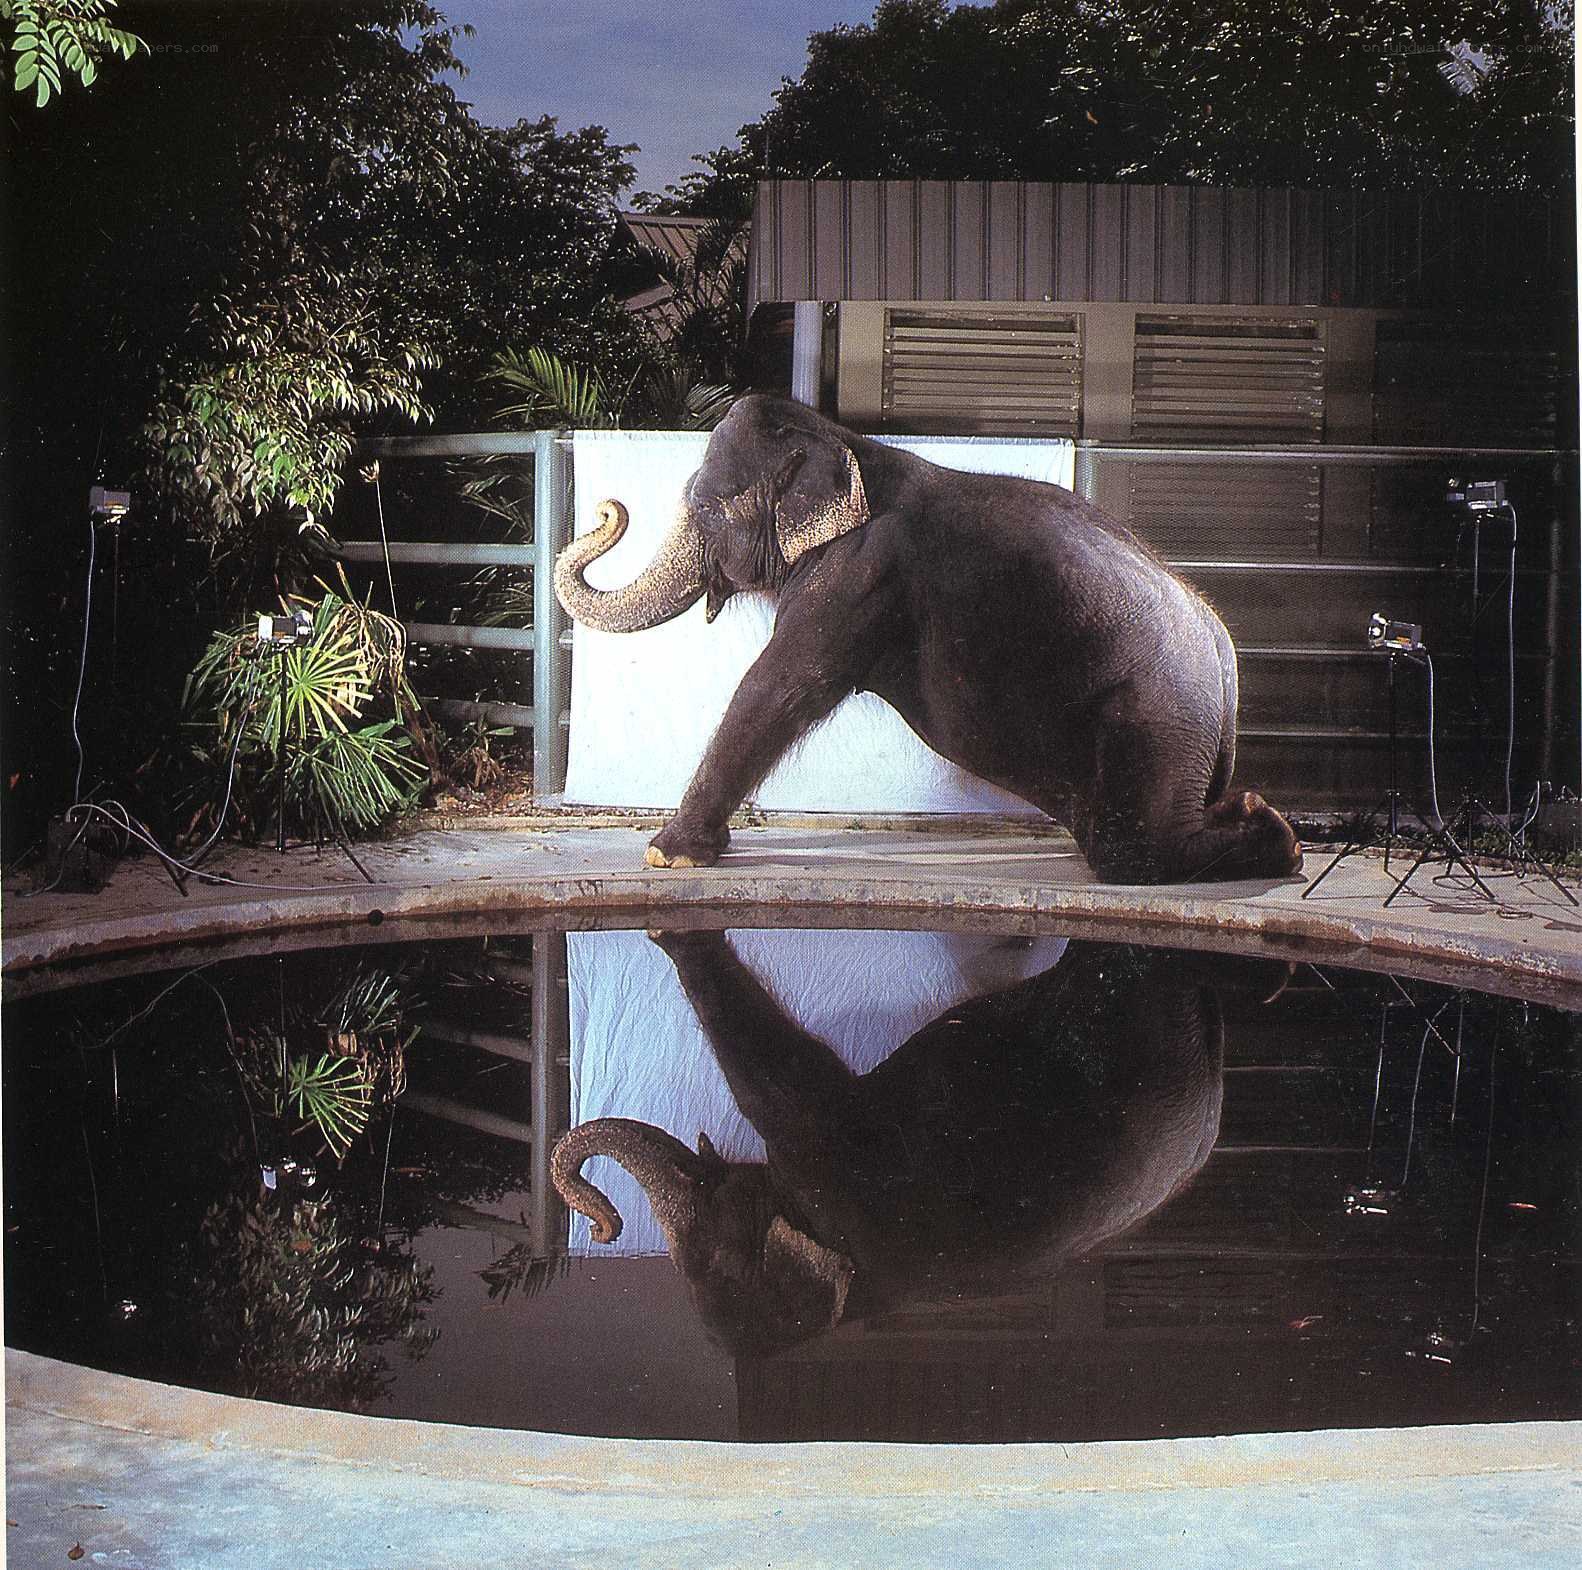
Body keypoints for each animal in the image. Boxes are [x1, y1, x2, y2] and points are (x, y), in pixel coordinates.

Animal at [554, 393, 1302, 884]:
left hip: (1154, 709)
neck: (848, 442)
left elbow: (781, 686)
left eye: (704, 508)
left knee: (1133, 847)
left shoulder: (859, 574)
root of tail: (1224, 653)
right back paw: (1259, 819)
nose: (608, 508)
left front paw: (668, 855)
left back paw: (1276, 832)